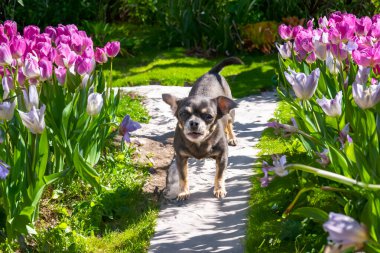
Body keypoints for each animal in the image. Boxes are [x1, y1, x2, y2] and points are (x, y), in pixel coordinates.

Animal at [162, 56, 242, 200]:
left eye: (209, 116)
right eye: (183, 114)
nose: (194, 122)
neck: (199, 144)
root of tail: (212, 72)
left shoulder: (222, 158)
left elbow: (219, 176)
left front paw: (219, 189)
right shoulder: (181, 158)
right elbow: (183, 177)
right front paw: (183, 192)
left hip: (231, 113)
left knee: (229, 123)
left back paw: (232, 137)